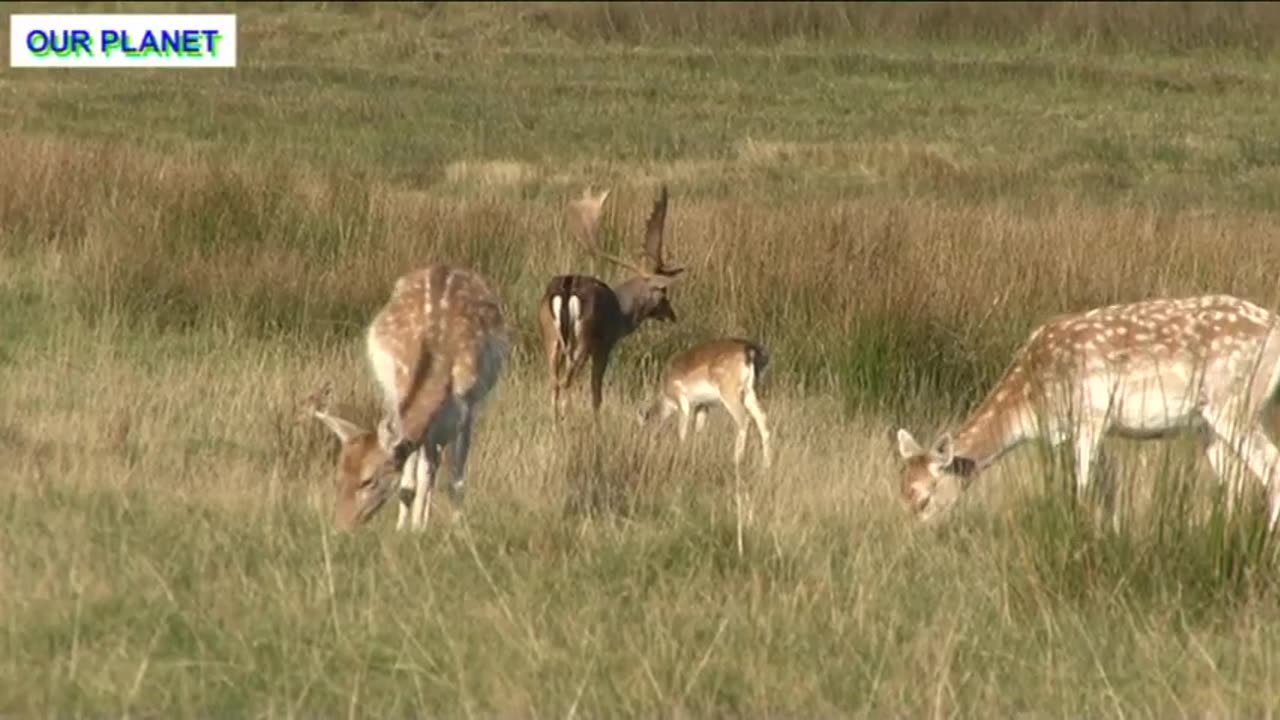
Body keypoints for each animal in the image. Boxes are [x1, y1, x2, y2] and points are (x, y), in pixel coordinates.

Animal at [307, 260, 506, 530]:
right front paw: (405, 528)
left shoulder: (468, 407)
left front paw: (450, 528)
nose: (341, 526)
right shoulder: (397, 395)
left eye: (368, 480)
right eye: (338, 476)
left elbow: (454, 478)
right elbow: (411, 480)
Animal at [535, 184, 686, 417]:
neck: (621, 313)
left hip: (550, 335)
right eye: (664, 291)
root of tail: (566, 290)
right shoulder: (605, 344)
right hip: (584, 338)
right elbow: (597, 392)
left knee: (554, 382)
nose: (671, 314)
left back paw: (555, 420)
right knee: (567, 380)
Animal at [637, 338, 768, 471]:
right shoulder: (702, 405)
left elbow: (682, 432)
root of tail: (749, 350)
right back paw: (766, 465)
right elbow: (698, 430)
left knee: (744, 419)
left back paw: (736, 462)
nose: (645, 447)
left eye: (644, 428)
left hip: (729, 392)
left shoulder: (682, 401)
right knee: (762, 418)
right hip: (748, 392)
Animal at [896, 293, 1280, 532]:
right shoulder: (1091, 428)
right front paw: (1113, 535)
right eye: (901, 491)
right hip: (1208, 423)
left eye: (924, 498)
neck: (1032, 402)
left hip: (1232, 401)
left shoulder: (1089, 415)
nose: (915, 538)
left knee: (1271, 465)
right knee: (1233, 481)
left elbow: (1082, 487)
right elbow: (1110, 488)